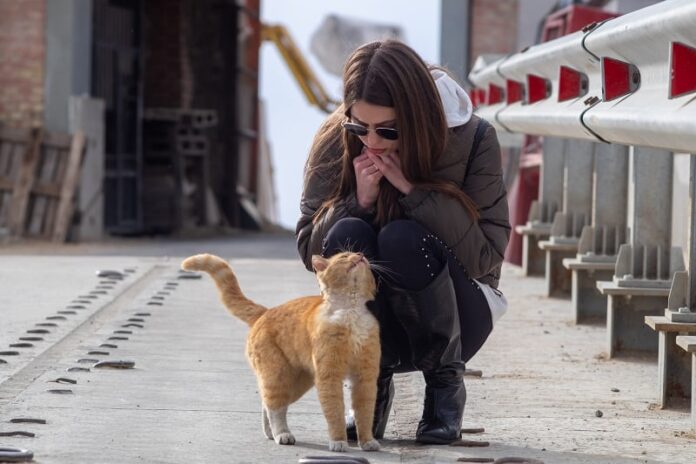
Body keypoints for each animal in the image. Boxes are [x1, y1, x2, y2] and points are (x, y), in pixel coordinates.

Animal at [181, 252, 380, 452]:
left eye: (359, 254)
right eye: (344, 255)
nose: (361, 255)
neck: (350, 312)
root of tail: (264, 312)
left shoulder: (365, 378)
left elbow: (365, 412)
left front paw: (367, 441)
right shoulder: (329, 377)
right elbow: (335, 411)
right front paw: (338, 441)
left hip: (297, 383)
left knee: (268, 403)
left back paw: (271, 433)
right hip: (278, 377)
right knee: (275, 407)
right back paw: (282, 434)